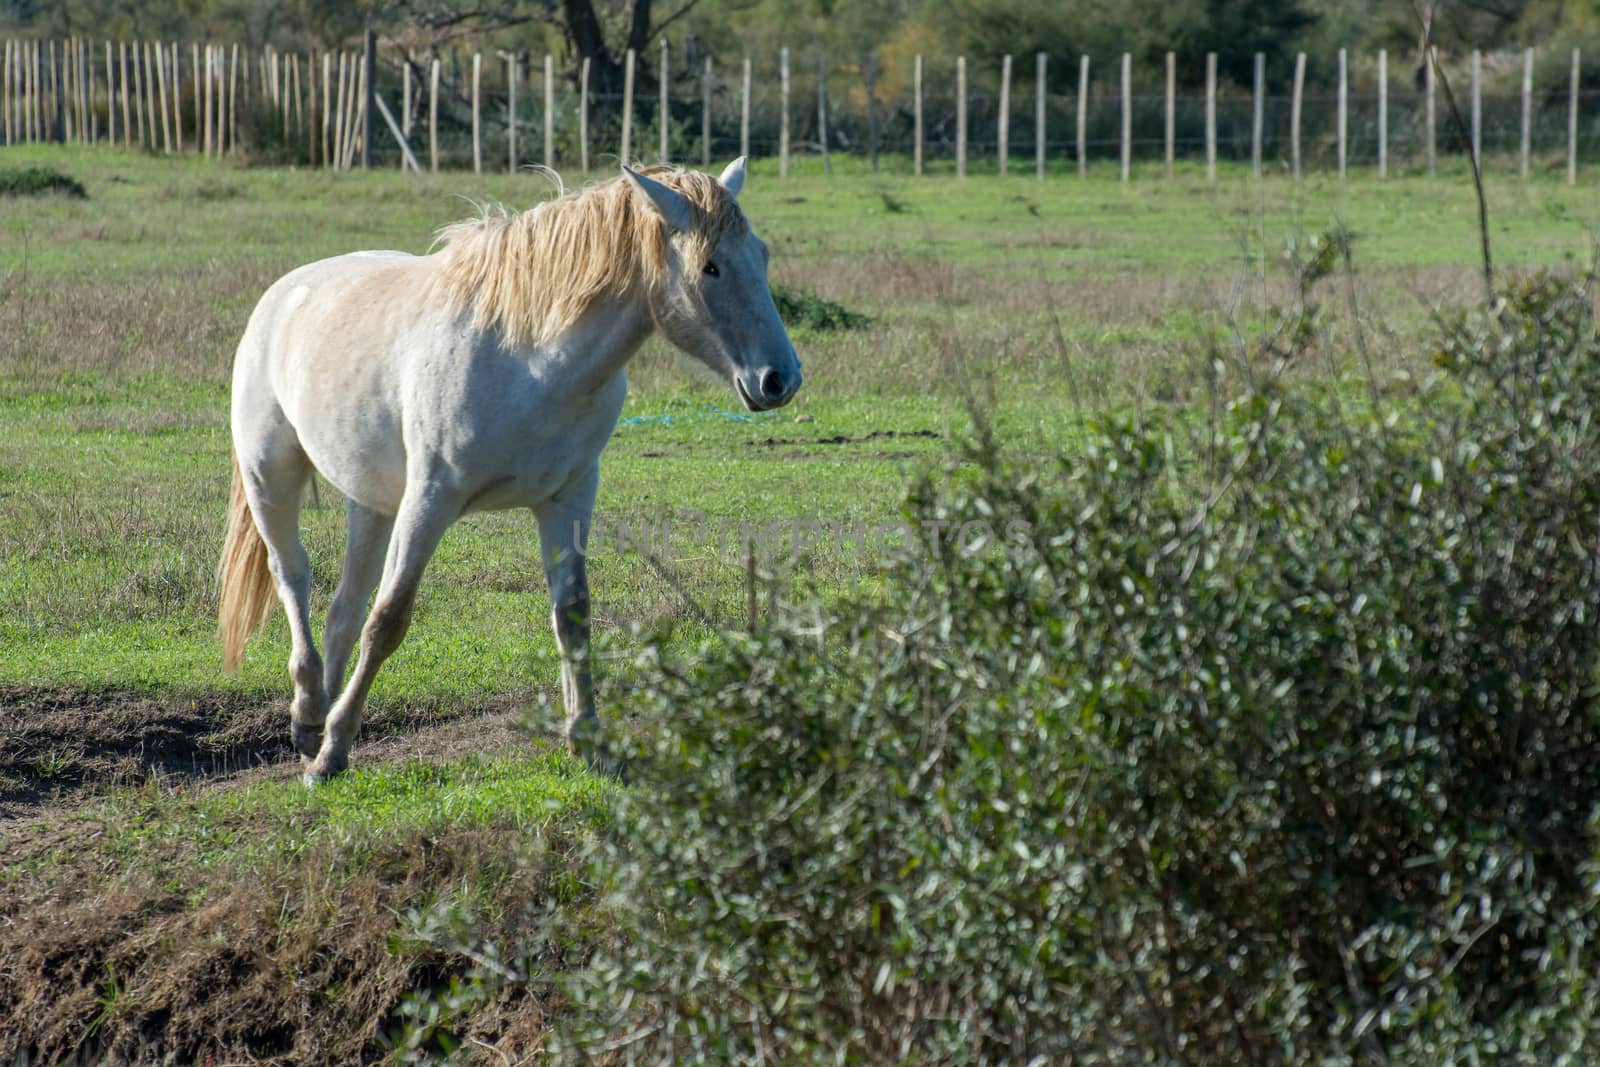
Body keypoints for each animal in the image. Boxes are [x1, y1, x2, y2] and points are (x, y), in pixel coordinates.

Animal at [216, 158, 800, 780]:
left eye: (761, 256)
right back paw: (309, 717)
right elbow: (389, 620)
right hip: (270, 477)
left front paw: (587, 739)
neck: (532, 361)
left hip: (371, 504)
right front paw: (332, 755)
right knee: (294, 576)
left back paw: (317, 718)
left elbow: (573, 615)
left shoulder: (568, 499)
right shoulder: (430, 501)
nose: (780, 379)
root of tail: (282, 294)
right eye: (710, 267)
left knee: (343, 608)